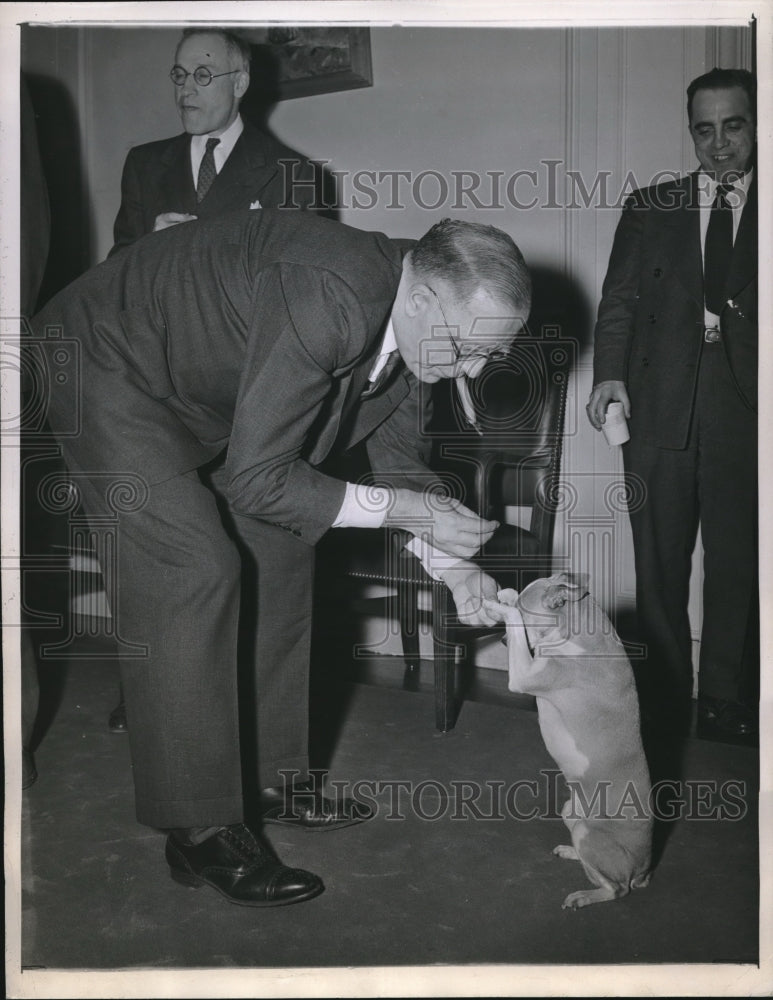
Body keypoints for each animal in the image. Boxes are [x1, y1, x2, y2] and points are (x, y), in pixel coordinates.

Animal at [488, 572, 652, 908]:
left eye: (527, 616)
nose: (502, 642)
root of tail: (644, 869)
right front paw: (505, 594)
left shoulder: (523, 676)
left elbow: (516, 626)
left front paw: (503, 608)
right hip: (572, 815)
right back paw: (570, 853)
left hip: (591, 835)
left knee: (617, 889)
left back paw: (583, 896)